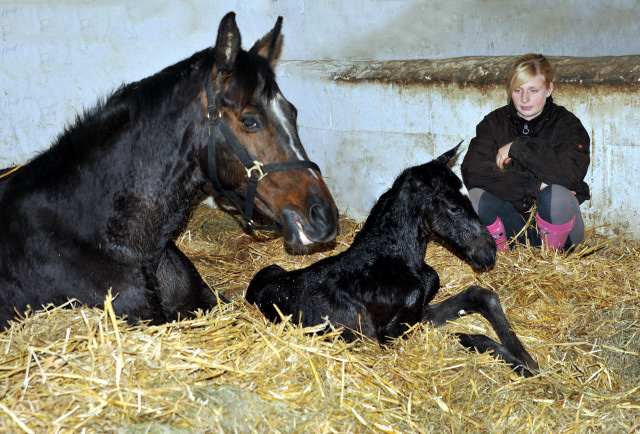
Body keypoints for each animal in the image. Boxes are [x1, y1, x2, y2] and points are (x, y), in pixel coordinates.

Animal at [248, 145, 536, 376]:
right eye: (453, 207)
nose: (489, 251)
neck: (392, 261)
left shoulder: (420, 312)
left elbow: (481, 296)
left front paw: (524, 356)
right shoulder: (392, 335)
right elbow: (464, 336)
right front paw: (523, 365)